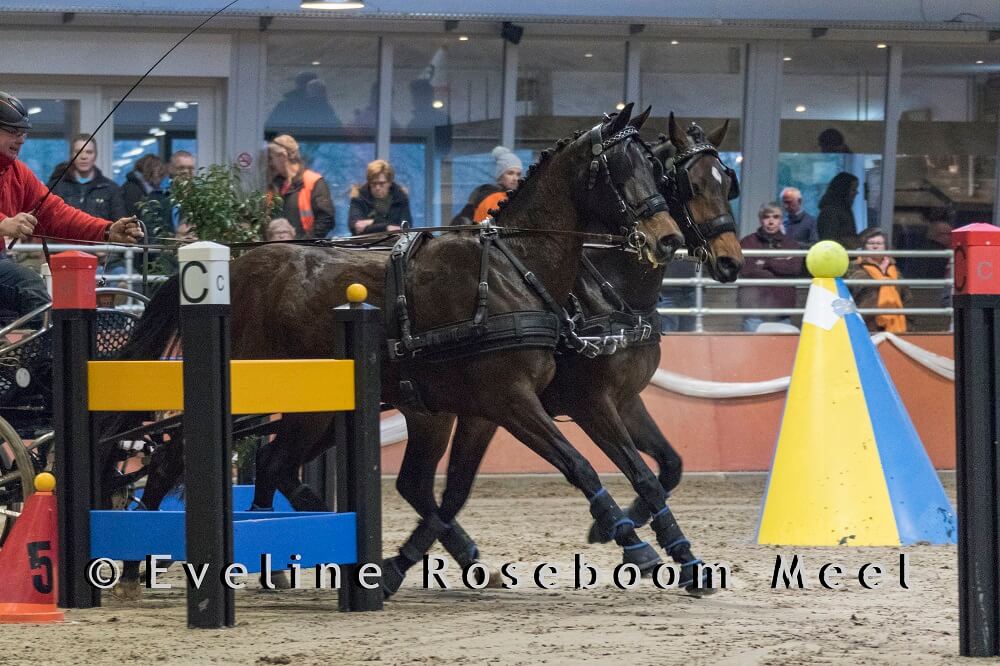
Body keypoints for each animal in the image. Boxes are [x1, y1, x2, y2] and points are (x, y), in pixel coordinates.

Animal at [98, 104, 685, 593]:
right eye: (619, 168)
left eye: (657, 170)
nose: (669, 238)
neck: (512, 269)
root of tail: (236, 264)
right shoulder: (519, 400)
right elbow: (583, 467)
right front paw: (641, 549)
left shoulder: (487, 409)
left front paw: (676, 552)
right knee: (175, 455)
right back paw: (138, 560)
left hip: (315, 409)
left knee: (271, 464)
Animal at [378, 114, 743, 596]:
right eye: (690, 185)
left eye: (727, 183)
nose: (731, 262)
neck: (609, 292)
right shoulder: (584, 402)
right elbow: (640, 473)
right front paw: (630, 536)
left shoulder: (625, 400)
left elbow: (668, 467)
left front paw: (626, 532)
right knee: (418, 485)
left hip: (436, 410)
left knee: (418, 485)